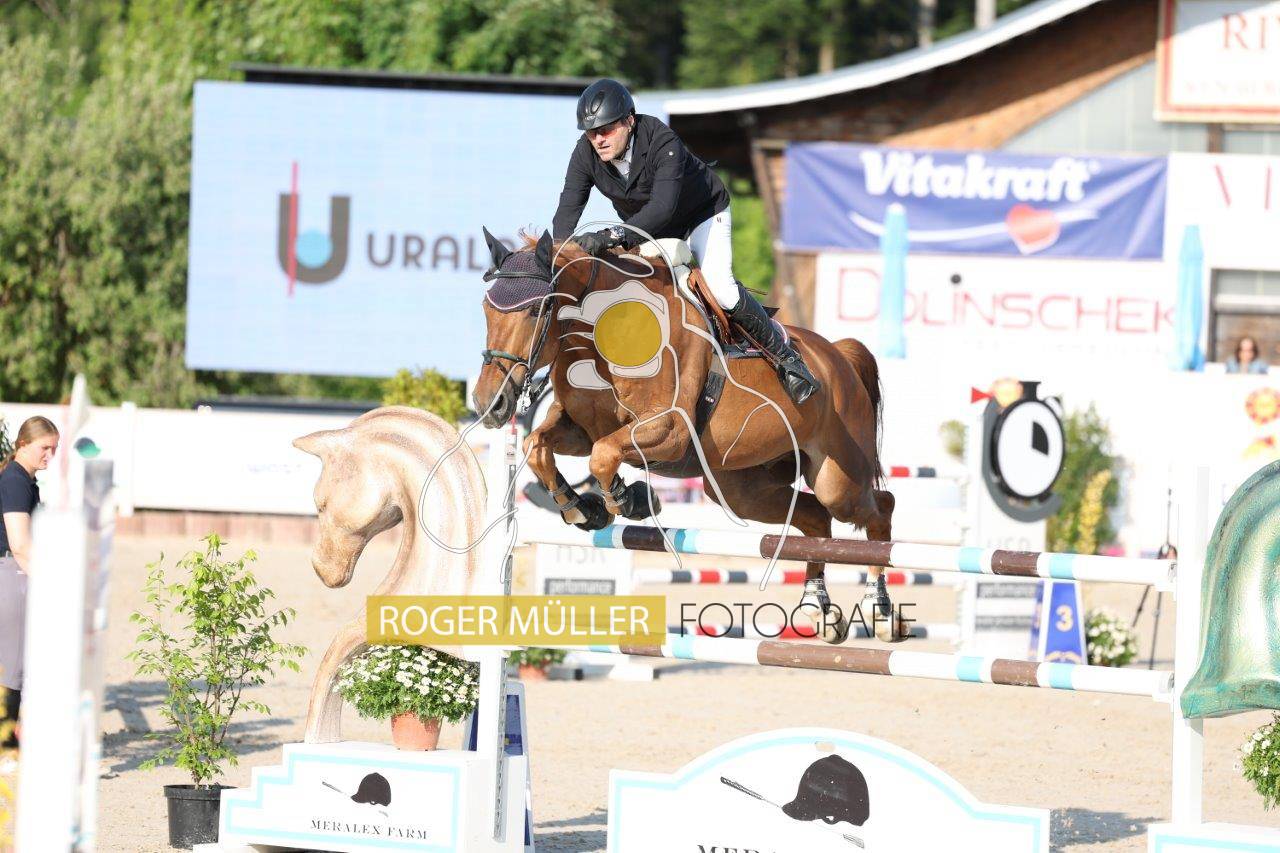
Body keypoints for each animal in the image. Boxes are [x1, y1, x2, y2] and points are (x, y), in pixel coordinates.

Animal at [471, 229, 901, 643]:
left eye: (534, 310)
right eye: (486, 311)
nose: (489, 403)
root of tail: (839, 355)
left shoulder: (668, 429)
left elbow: (603, 455)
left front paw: (631, 501)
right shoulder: (580, 428)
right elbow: (538, 446)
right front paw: (583, 508)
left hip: (837, 477)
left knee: (879, 506)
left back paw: (879, 610)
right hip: (739, 488)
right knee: (815, 518)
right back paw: (818, 607)